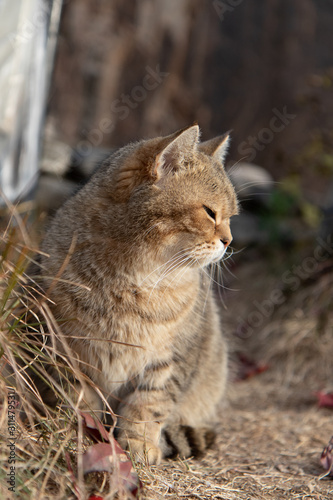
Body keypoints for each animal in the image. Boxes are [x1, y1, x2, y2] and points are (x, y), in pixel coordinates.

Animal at [33, 125, 237, 464]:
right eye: (210, 212)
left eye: (232, 216)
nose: (229, 241)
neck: (137, 282)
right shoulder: (64, 347)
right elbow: (78, 398)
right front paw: (79, 432)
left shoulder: (172, 359)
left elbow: (149, 403)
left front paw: (139, 441)